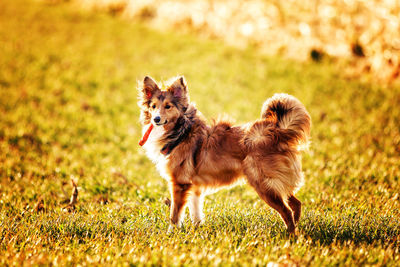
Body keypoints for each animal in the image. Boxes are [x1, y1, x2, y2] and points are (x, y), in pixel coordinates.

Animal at [139, 76, 310, 234]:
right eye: (153, 107)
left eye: (168, 106)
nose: (156, 119)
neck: (180, 132)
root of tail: (277, 132)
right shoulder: (194, 187)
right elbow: (195, 212)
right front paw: (197, 230)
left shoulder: (180, 184)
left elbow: (174, 215)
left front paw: (171, 234)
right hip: (274, 182)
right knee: (296, 204)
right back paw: (297, 229)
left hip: (263, 184)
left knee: (286, 211)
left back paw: (290, 236)